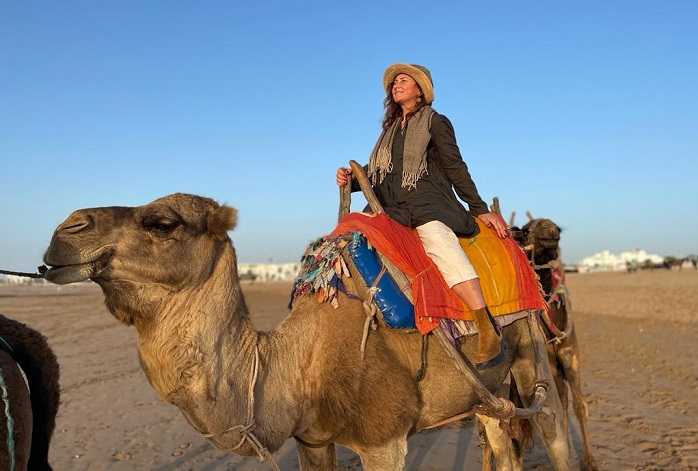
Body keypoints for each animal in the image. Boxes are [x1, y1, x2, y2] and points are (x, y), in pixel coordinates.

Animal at [40, 194, 568, 470]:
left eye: (163, 222)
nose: (66, 229)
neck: (297, 365)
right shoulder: (311, 440)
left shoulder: (384, 439)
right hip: (484, 389)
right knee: (499, 432)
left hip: (530, 344)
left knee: (551, 425)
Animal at [476, 218, 596, 471]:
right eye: (525, 229)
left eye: (558, 229)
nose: (548, 228)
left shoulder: (570, 355)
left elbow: (578, 406)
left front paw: (590, 462)